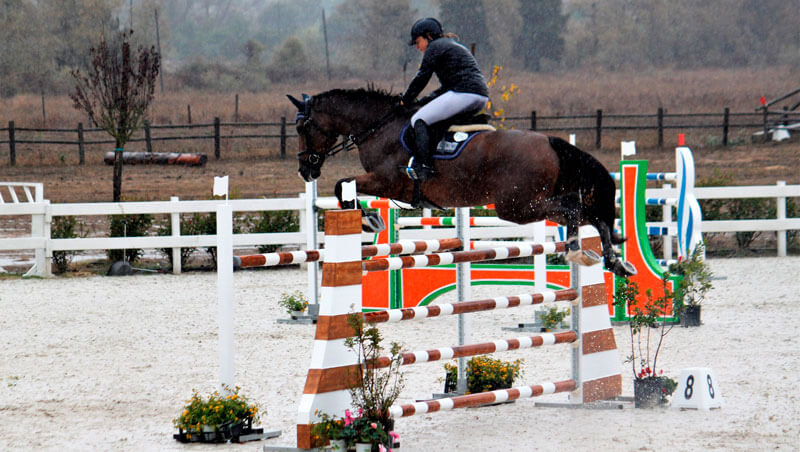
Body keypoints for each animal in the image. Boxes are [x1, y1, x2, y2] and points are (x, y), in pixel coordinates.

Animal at [288, 87, 636, 277]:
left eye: (303, 127)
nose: (305, 169)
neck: (378, 127)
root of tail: (550, 142)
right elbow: (343, 186)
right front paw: (369, 217)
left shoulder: (386, 181)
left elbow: (342, 185)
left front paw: (369, 219)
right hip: (526, 204)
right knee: (591, 216)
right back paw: (614, 262)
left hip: (516, 206)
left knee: (574, 206)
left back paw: (577, 250)